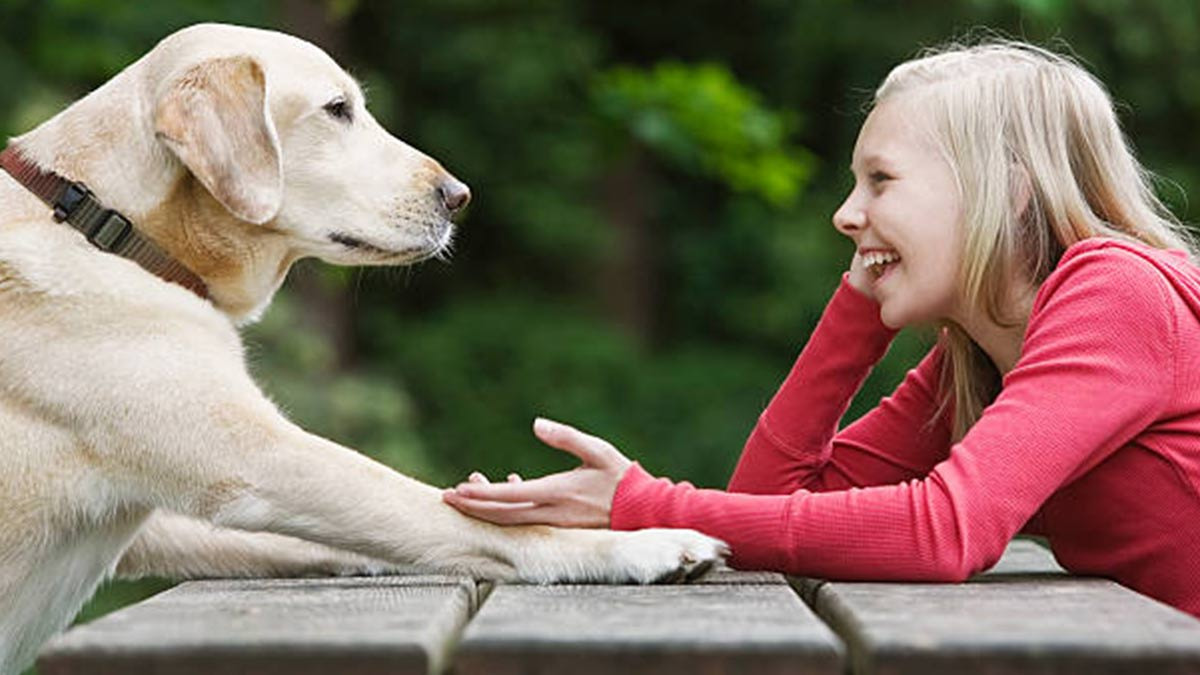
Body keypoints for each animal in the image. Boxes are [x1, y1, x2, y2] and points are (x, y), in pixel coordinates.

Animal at [0, 23, 724, 667]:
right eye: (337, 109)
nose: (459, 197)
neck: (107, 222)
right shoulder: (259, 459)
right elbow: (451, 515)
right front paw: (645, 544)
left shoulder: (160, 524)